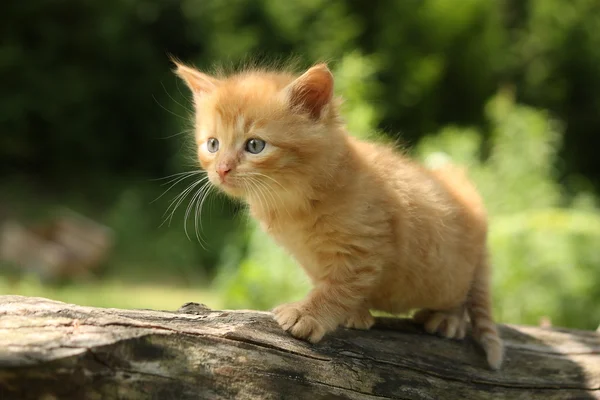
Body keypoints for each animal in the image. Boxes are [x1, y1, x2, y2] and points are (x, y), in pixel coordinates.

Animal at [175, 59, 506, 368]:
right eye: (213, 144)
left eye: (255, 145)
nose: (222, 169)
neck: (295, 199)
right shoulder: (314, 259)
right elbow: (332, 284)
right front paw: (354, 314)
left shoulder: (365, 247)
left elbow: (339, 287)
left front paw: (307, 315)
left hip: (451, 271)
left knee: (461, 293)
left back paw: (449, 318)